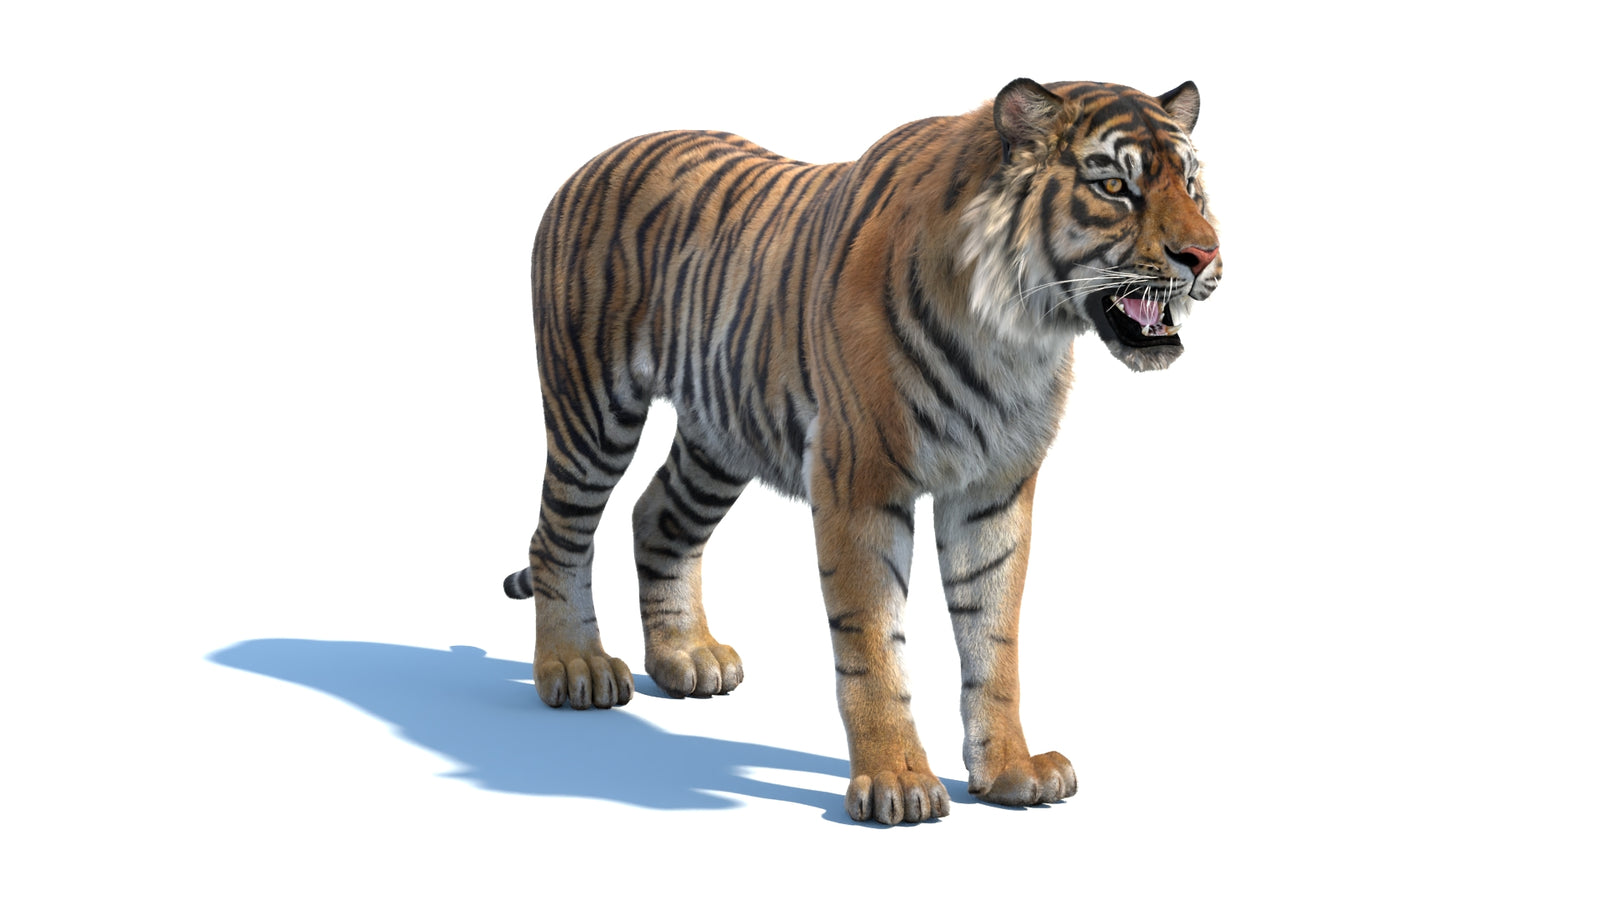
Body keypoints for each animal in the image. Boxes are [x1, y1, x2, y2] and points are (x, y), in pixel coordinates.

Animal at [503, 78, 1222, 824]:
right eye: (1114, 186)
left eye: (1192, 186)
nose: (1205, 256)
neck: (1015, 334)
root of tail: (595, 160)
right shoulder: (859, 481)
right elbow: (873, 644)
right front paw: (898, 782)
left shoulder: (993, 490)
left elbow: (994, 640)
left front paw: (1011, 771)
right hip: (592, 405)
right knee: (558, 534)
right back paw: (575, 667)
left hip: (721, 434)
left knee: (657, 518)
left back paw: (687, 657)